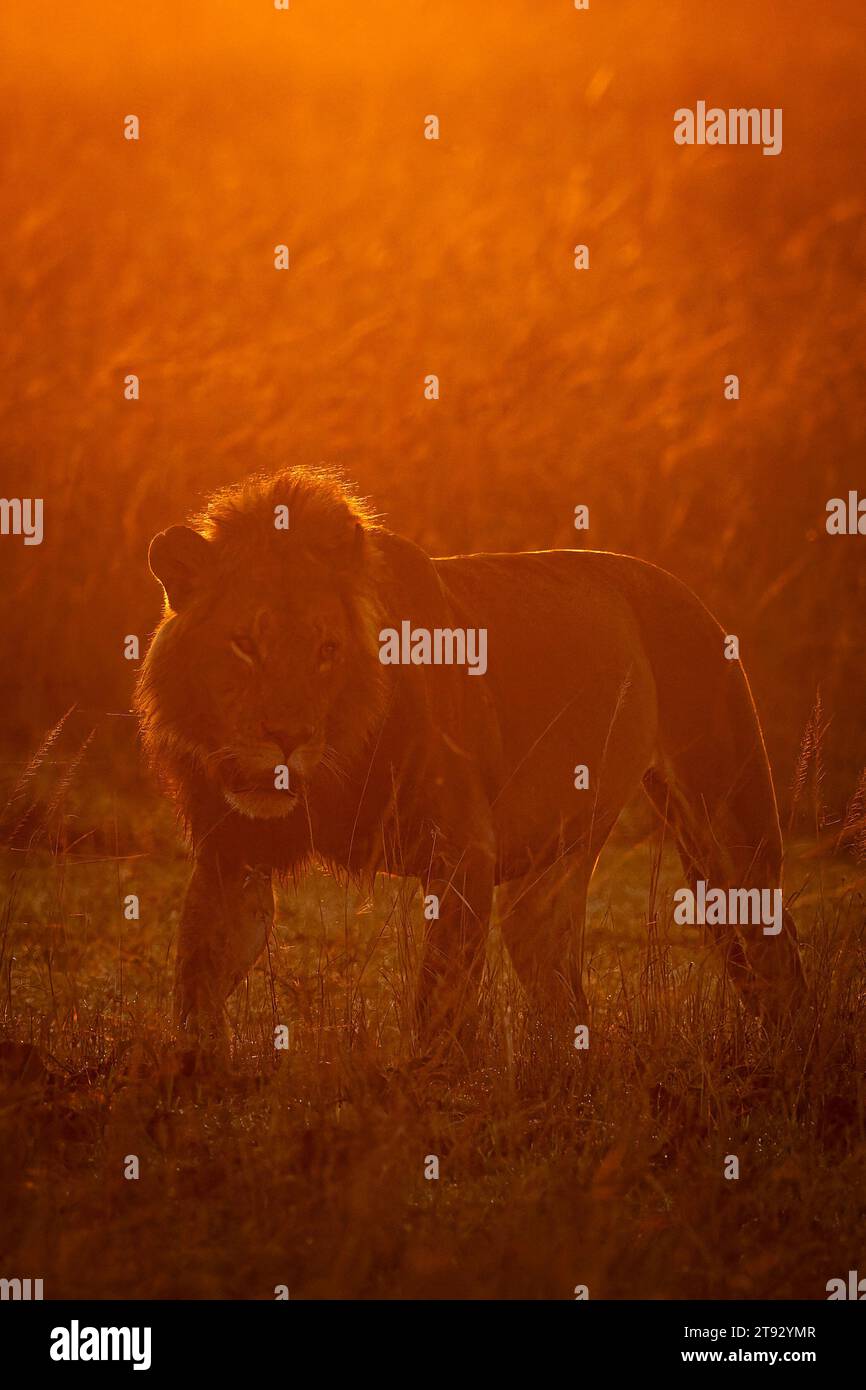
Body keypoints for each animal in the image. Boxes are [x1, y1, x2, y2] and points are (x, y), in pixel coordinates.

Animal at [135, 467, 805, 1044]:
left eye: (327, 650)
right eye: (244, 644)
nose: (288, 736)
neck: (330, 768)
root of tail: (682, 587)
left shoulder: (463, 851)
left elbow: (439, 1007)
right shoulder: (231, 857)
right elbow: (195, 987)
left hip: (729, 831)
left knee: (775, 958)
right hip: (546, 884)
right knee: (564, 994)